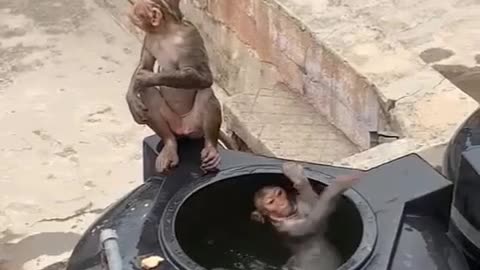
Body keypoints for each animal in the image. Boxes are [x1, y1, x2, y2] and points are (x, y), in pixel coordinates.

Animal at [127, 0, 223, 173]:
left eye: (137, 19)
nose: (132, 19)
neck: (166, 32)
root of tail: (184, 129)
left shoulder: (190, 37)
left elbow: (204, 77)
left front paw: (146, 78)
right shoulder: (149, 38)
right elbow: (145, 64)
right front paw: (131, 98)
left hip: (196, 127)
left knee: (206, 93)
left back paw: (211, 147)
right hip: (172, 124)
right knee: (147, 93)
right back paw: (169, 144)